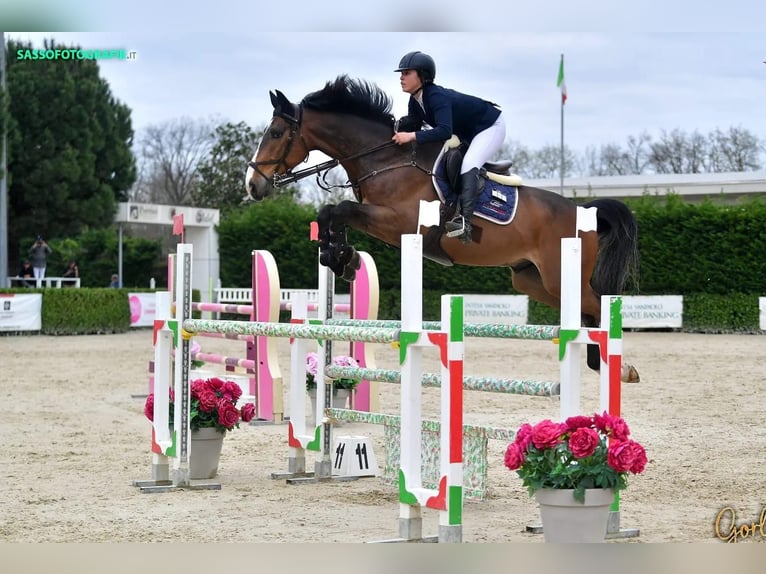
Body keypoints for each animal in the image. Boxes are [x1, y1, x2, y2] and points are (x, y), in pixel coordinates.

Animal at [245, 75, 640, 382]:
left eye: (277, 132)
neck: (385, 159)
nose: (253, 185)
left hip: (558, 276)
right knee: (585, 311)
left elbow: (338, 208)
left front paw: (340, 256)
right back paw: (601, 364)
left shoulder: (397, 221)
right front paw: (341, 257)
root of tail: (584, 210)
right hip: (533, 280)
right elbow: (331, 212)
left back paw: (622, 368)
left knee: (598, 304)